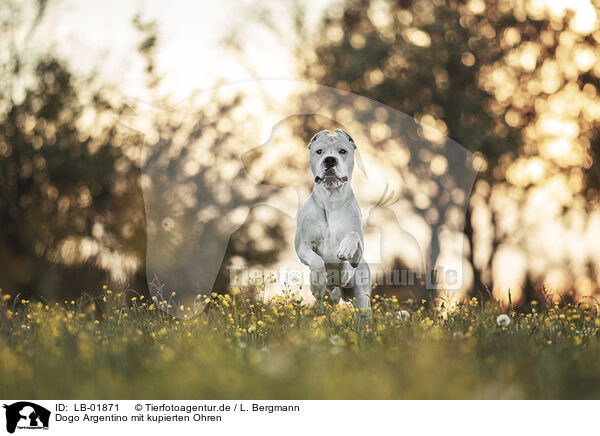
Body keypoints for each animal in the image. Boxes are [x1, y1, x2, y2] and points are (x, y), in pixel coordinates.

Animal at [294, 129, 370, 310]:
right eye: (319, 151)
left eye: (342, 151)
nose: (329, 159)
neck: (331, 201)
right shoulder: (302, 246)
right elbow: (316, 261)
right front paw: (317, 283)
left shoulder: (356, 256)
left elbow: (353, 238)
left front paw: (346, 248)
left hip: (362, 299)